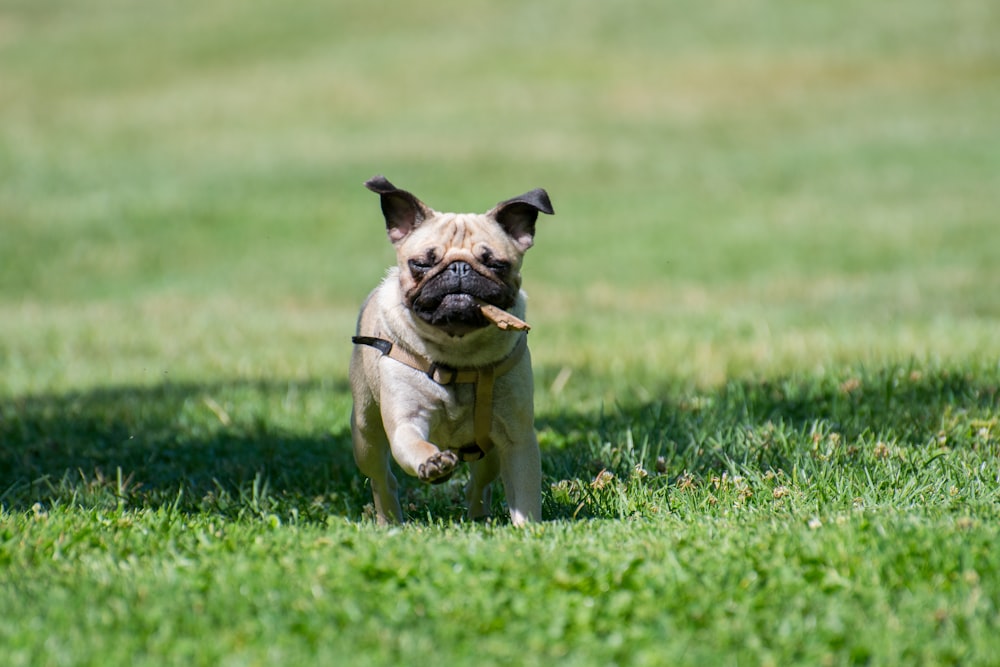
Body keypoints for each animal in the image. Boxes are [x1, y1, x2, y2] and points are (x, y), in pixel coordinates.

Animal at [352, 176, 556, 528]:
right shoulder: (406, 422)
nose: (459, 269)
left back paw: (478, 516)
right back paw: (389, 520)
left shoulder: (517, 439)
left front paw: (527, 529)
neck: (458, 353)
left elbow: (525, 493)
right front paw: (433, 464)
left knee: (479, 482)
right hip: (366, 436)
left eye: (497, 265)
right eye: (421, 264)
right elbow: (415, 444)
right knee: (382, 479)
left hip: (489, 452)